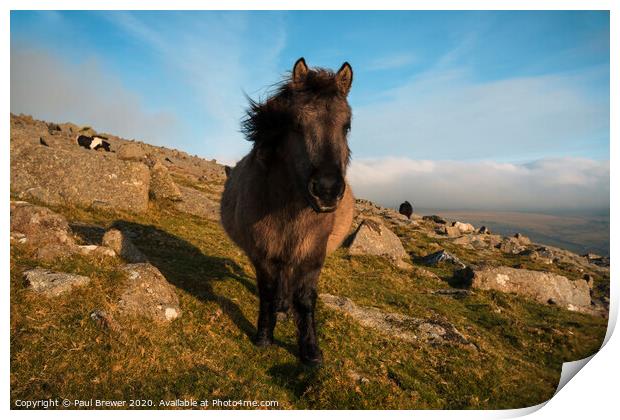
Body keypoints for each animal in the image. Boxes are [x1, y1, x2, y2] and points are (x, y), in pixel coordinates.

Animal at [220, 58, 354, 364]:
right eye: (296, 124)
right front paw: (264, 337)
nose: (327, 189)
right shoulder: (263, 251)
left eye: (347, 126)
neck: (289, 210)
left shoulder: (312, 253)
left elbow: (304, 299)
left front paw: (311, 351)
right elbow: (268, 292)